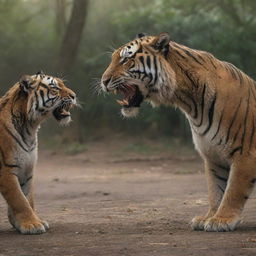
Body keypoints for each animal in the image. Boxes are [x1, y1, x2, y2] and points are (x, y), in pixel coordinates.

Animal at [0, 70, 76, 234]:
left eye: (63, 84)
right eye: (55, 88)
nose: (74, 96)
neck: (29, 128)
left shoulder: (27, 169)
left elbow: (28, 198)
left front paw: (24, 222)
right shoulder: (6, 170)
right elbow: (19, 199)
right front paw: (32, 224)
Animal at [100, 32, 256, 232]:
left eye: (127, 59)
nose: (103, 81)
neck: (189, 102)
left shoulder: (245, 154)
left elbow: (233, 191)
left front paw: (222, 220)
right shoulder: (213, 155)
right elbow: (216, 190)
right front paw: (209, 217)